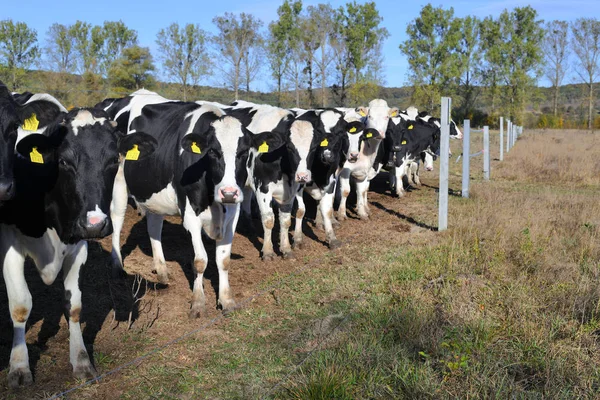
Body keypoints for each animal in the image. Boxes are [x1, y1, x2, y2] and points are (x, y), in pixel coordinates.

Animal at [0, 107, 157, 388]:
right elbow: (20, 306)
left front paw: (81, 360)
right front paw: (18, 367)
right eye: (63, 161)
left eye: (114, 160)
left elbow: (73, 305)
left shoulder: (78, 244)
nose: (95, 223)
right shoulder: (9, 241)